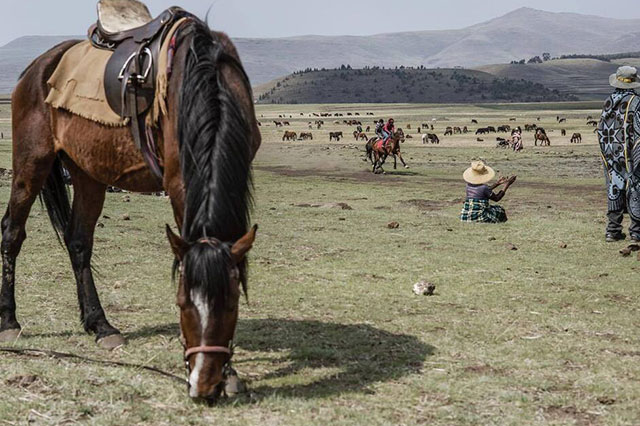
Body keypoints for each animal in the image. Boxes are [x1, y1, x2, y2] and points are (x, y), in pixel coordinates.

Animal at [0, 18, 260, 402]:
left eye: (232, 304)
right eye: (182, 303)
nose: (204, 384)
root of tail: (36, 68)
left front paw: (230, 372)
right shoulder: (178, 183)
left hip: (87, 173)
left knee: (79, 242)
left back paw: (100, 325)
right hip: (31, 163)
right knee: (12, 233)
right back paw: (10, 322)